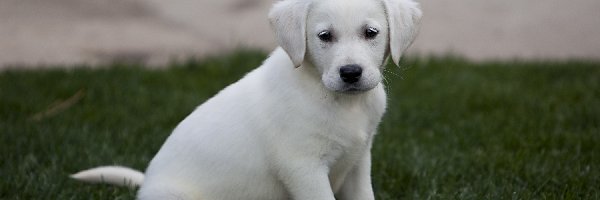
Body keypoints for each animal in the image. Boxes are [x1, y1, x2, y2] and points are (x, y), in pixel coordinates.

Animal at [71, 0, 422, 198]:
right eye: (324, 36)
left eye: (371, 33)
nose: (350, 73)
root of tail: (147, 183)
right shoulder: (303, 167)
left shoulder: (358, 160)